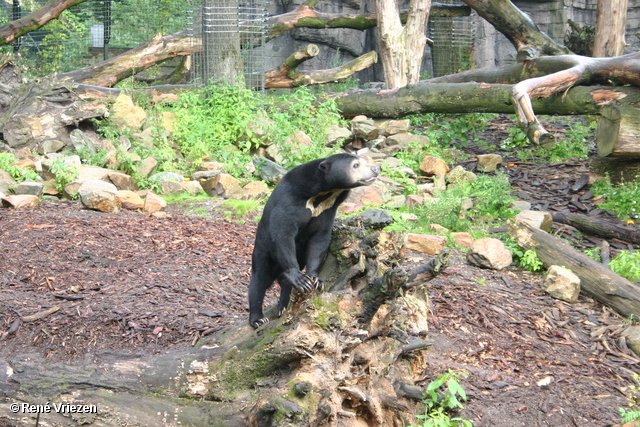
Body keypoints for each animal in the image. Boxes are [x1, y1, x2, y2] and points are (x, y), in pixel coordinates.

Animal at [249, 153, 380, 328]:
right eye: (356, 165)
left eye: (365, 161)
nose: (376, 168)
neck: (323, 192)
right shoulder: (288, 200)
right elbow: (283, 235)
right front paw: (300, 279)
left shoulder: (327, 209)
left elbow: (320, 239)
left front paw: (315, 280)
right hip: (262, 251)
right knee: (259, 281)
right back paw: (258, 319)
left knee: (284, 283)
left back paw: (283, 306)